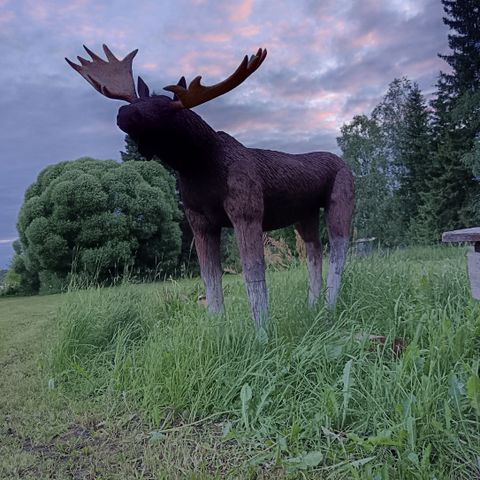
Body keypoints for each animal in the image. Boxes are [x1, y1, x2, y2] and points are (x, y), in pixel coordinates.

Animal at [66, 45, 352, 330]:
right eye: (133, 102)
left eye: (164, 107)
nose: (123, 114)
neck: (197, 167)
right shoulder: (199, 220)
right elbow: (211, 280)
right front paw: (218, 329)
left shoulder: (246, 210)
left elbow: (253, 276)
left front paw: (262, 333)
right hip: (305, 215)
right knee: (315, 251)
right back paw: (313, 308)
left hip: (340, 198)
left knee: (339, 249)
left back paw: (329, 310)